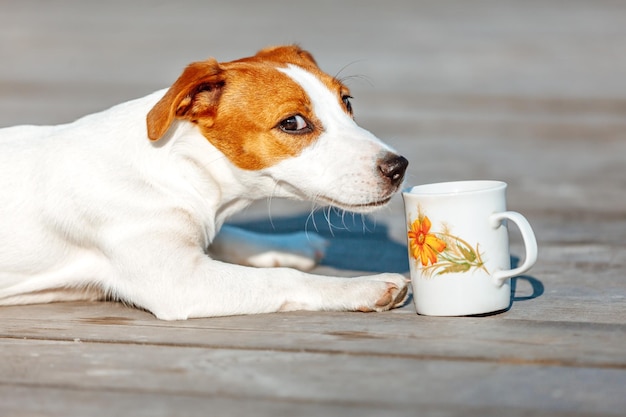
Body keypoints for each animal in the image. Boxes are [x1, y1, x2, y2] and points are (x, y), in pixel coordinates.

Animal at [0, 45, 410, 318]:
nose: (398, 167)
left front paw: (288, 244)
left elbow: (224, 236)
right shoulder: (180, 281)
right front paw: (364, 285)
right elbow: (282, 280)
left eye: (347, 102)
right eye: (293, 123)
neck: (180, 165)